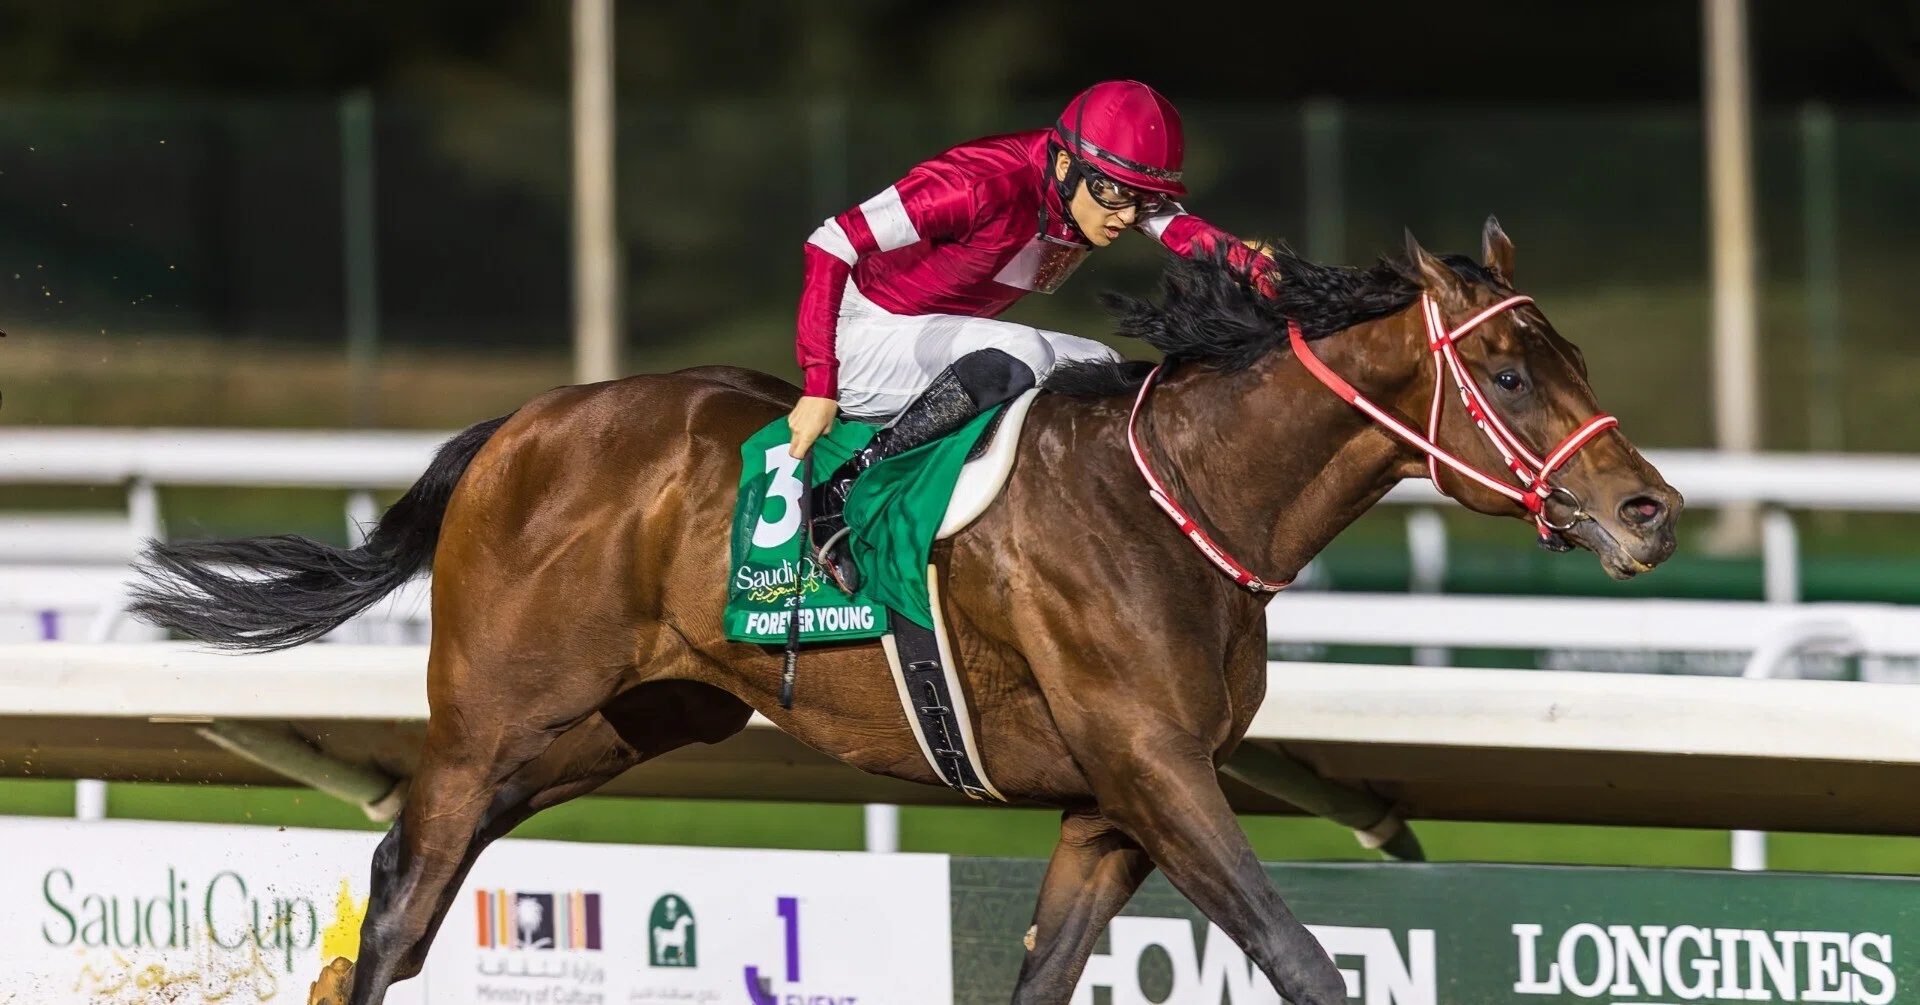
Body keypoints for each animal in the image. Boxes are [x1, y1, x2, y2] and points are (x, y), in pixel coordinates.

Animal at [130, 219, 1679, 1005]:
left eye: (1573, 356)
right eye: (1514, 372)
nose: (1650, 507)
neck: (1179, 497)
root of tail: (522, 425)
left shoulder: (1112, 803)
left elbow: (1048, 980)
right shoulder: (1155, 766)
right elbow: (1304, 962)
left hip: (617, 726)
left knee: (410, 888)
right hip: (491, 718)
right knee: (401, 904)